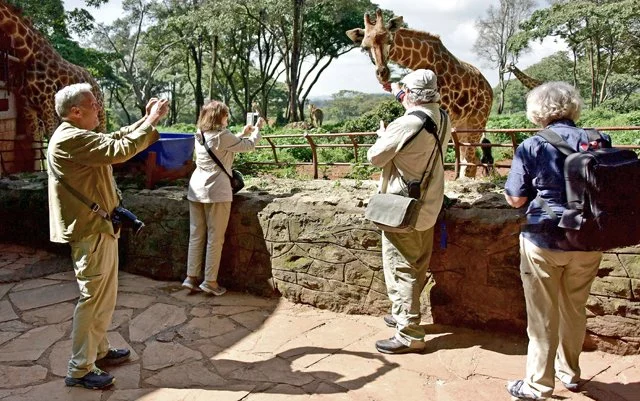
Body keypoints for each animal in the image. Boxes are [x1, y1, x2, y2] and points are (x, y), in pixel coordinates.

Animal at [0, 2, 105, 142]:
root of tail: (95, 82)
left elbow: (51, 136)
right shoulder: (28, 108)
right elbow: (37, 139)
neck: (28, 53)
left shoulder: (47, 104)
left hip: (101, 111)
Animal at [346, 9, 494, 178]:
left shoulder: (440, 109)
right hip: (462, 124)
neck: (421, 61)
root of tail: (489, 89)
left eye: (390, 40)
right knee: (469, 157)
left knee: (470, 158)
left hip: (478, 121)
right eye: (365, 47)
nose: (382, 74)